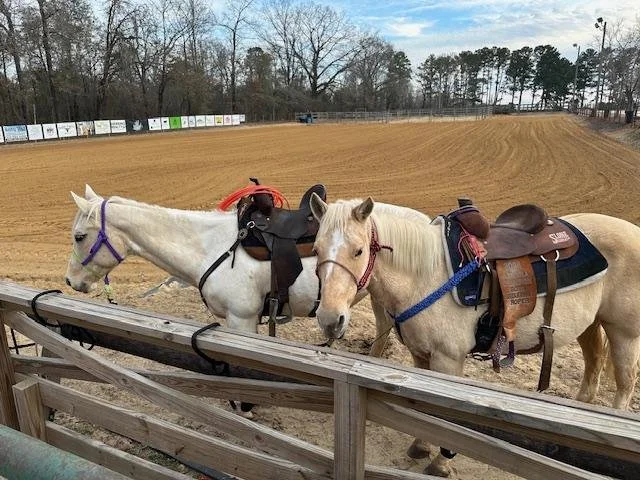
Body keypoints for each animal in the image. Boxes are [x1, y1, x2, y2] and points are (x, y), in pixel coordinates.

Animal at [308, 194, 640, 477]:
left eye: (358, 250)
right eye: (316, 250)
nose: (329, 319)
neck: (427, 275)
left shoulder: (448, 360)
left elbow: (443, 414)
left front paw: (442, 462)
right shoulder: (420, 356)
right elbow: (422, 406)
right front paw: (421, 446)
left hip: (624, 334)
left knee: (625, 385)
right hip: (591, 324)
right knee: (593, 366)